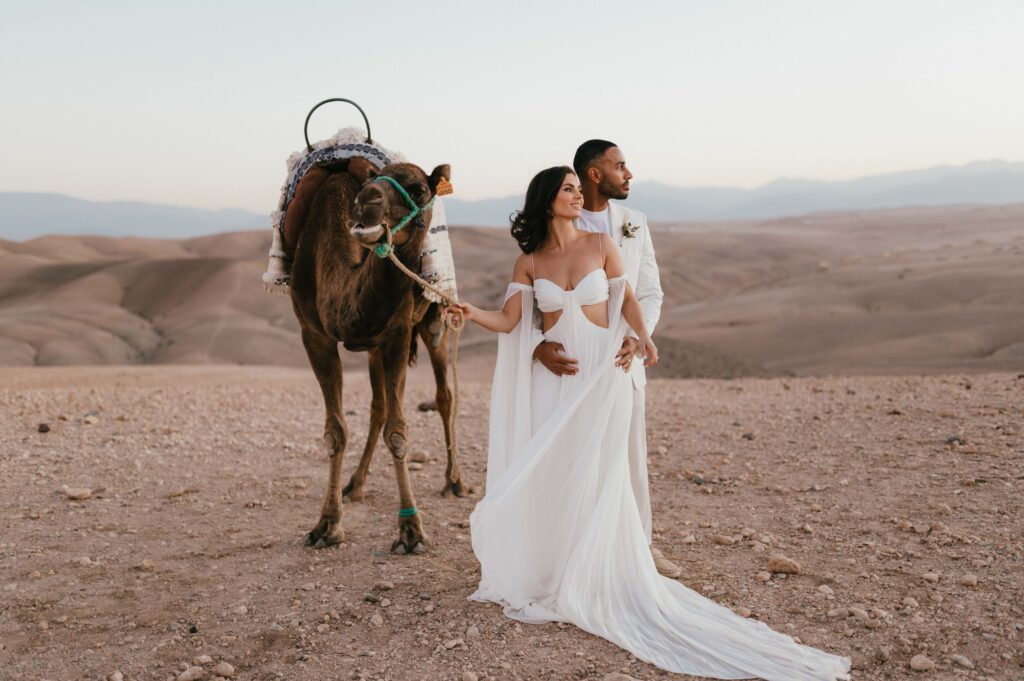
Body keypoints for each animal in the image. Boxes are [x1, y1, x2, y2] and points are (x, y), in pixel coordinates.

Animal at [282, 153, 468, 552]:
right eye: (373, 180)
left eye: (419, 190)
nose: (366, 200)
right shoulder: (314, 334)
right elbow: (337, 429)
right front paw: (327, 525)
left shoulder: (397, 332)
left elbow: (398, 429)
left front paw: (412, 530)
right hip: (372, 349)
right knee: (378, 407)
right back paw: (356, 483)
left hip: (435, 321)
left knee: (445, 395)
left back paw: (455, 481)